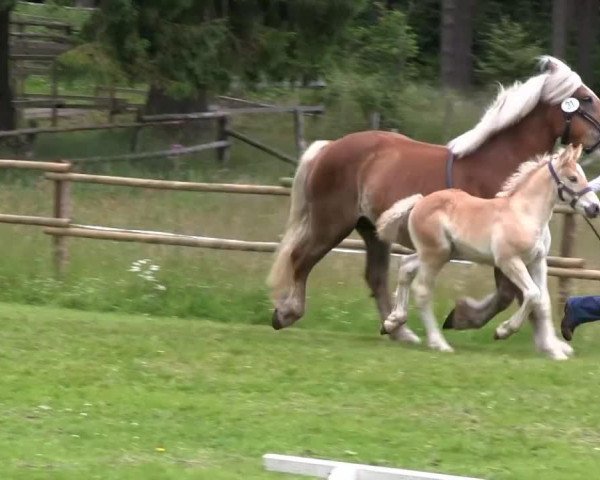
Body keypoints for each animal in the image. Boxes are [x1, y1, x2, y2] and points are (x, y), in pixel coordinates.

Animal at [378, 146, 600, 360]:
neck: (525, 214)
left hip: (441, 253)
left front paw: (555, 352)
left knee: (406, 266)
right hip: (435, 255)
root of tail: (419, 202)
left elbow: (543, 302)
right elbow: (533, 294)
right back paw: (439, 343)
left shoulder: (538, 262)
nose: (594, 208)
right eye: (573, 178)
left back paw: (392, 322)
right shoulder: (509, 261)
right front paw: (503, 331)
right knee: (422, 290)